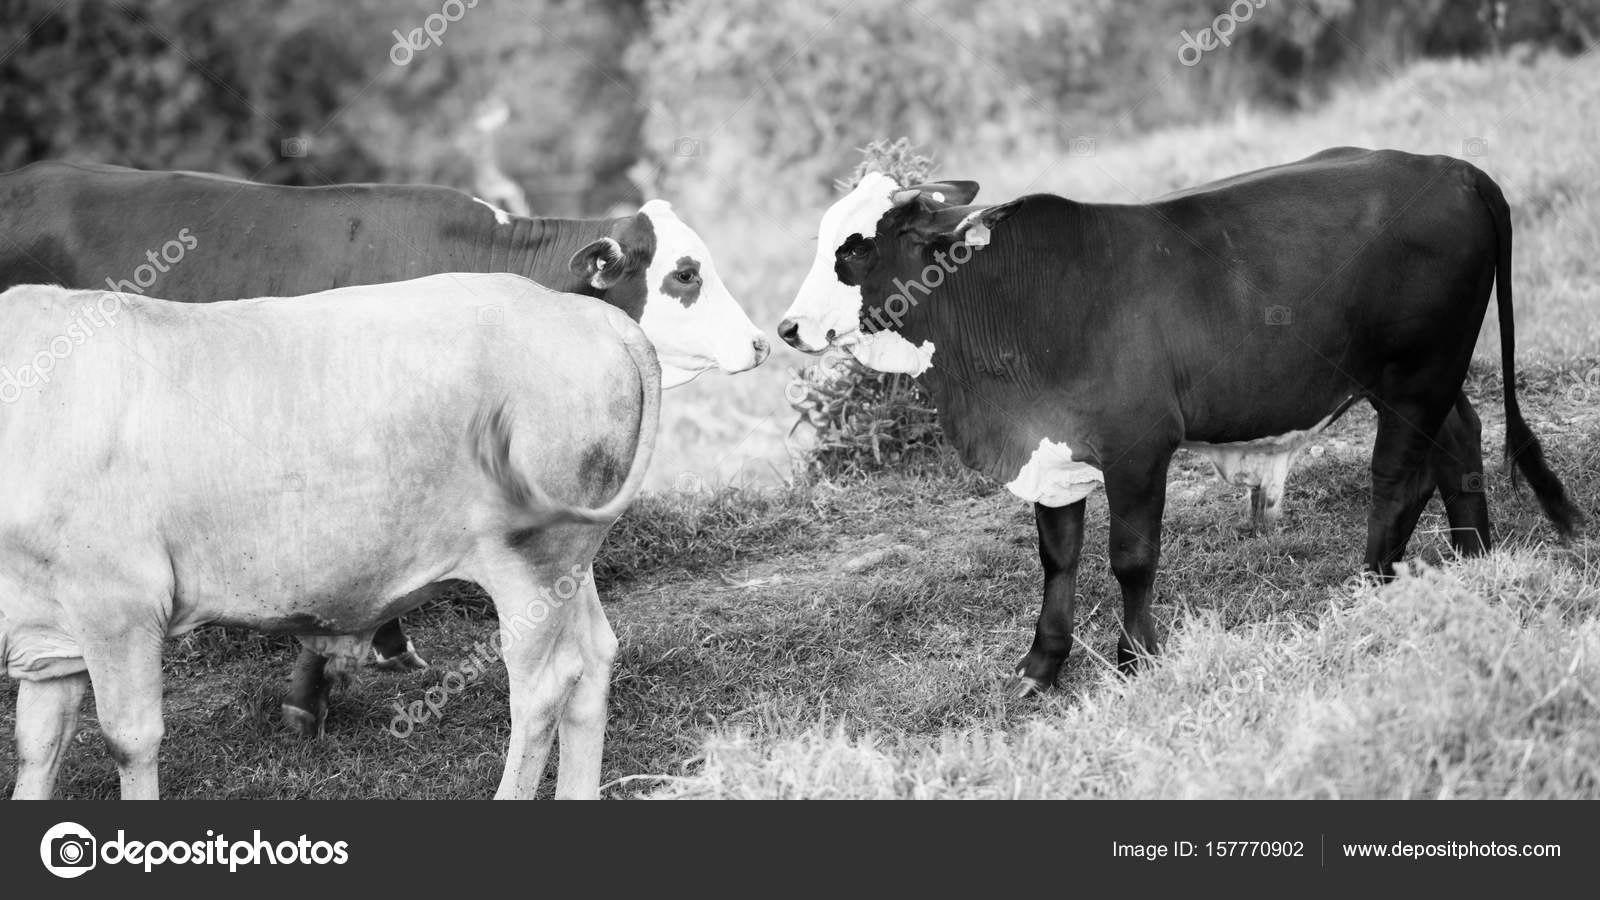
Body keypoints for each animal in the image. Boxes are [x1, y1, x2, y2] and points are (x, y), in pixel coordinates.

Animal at [1, 272, 657, 798]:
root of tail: (587, 312)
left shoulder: (120, 604)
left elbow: (128, 740)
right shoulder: (50, 632)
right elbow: (37, 747)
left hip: (533, 560)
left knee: (546, 685)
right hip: (571, 562)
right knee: (595, 658)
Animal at [778, 148, 1581, 697]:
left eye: (857, 247)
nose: (787, 328)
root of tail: (1457, 169)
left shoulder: (1138, 448)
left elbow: (1131, 557)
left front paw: (1136, 658)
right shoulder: (1050, 450)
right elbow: (1057, 556)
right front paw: (1041, 664)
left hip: (1416, 373)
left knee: (1396, 476)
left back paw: (1371, 584)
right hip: (1423, 378)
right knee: (1459, 444)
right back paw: (1474, 558)